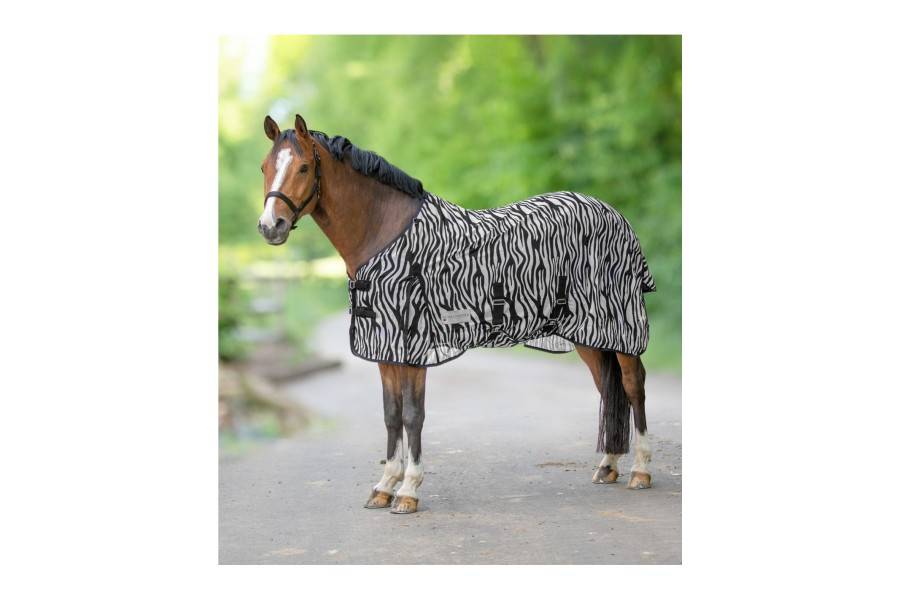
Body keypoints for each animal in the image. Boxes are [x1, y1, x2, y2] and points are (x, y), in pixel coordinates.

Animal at [257, 113, 655, 514]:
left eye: (304, 167)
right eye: (265, 167)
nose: (270, 226)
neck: (385, 234)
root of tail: (614, 214)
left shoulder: (413, 347)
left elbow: (413, 416)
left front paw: (408, 491)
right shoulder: (385, 347)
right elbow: (391, 415)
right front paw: (384, 486)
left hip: (621, 327)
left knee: (633, 386)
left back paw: (640, 471)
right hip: (589, 335)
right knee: (607, 388)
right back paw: (607, 466)